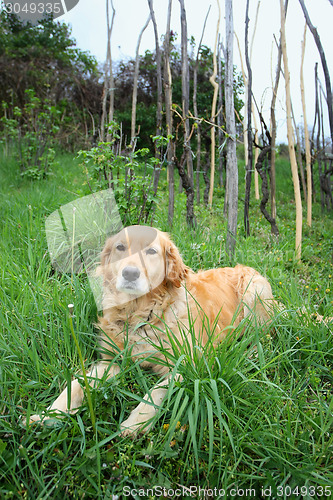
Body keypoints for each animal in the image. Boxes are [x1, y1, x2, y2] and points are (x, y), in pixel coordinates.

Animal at [26, 225, 278, 436]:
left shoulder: (186, 364)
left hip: (254, 294)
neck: (141, 314)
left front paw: (135, 423)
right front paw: (48, 414)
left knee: (263, 337)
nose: (130, 273)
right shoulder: (111, 361)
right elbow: (77, 384)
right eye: (120, 247)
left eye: (152, 251)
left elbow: (156, 392)